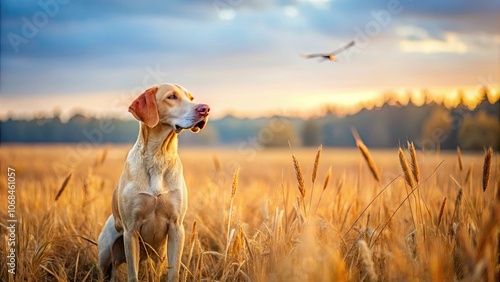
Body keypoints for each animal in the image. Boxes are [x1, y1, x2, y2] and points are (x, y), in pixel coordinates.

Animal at [98, 84, 210, 282]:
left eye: (191, 98)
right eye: (172, 97)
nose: (205, 109)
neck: (159, 156)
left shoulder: (176, 228)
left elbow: (173, 273)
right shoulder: (131, 231)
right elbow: (133, 275)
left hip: (159, 254)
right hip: (105, 253)